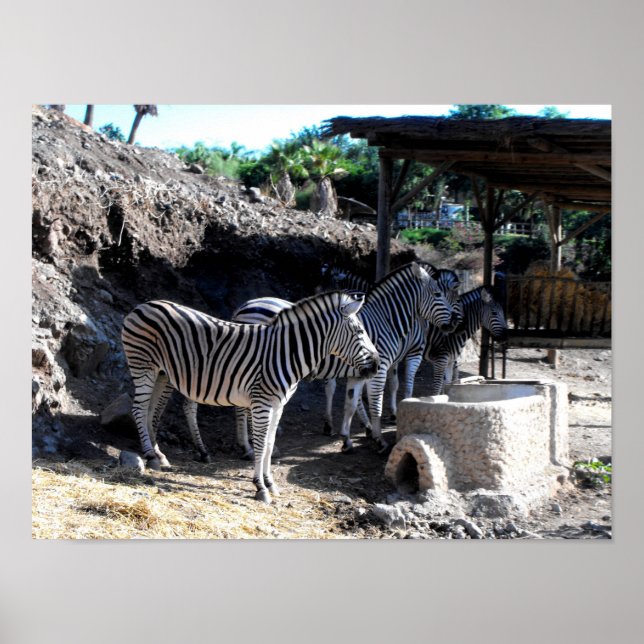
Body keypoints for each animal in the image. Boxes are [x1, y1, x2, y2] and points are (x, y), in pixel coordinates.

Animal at [121, 291, 379, 503]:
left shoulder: (278, 405)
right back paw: (150, 455)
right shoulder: (262, 402)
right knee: (138, 410)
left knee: (151, 411)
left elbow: (269, 444)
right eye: (360, 332)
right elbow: (260, 443)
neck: (287, 352)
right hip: (144, 366)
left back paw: (158, 454)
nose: (377, 365)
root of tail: (143, 305)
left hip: (161, 373)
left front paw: (270, 483)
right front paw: (260, 487)